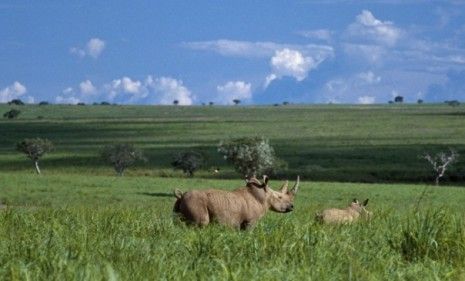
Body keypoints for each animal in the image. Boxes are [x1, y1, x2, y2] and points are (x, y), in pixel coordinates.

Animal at [172, 176, 300, 229]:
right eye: (279, 197)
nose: (292, 206)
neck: (264, 196)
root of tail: (181, 196)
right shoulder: (250, 221)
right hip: (195, 202)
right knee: (201, 223)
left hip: (180, 204)